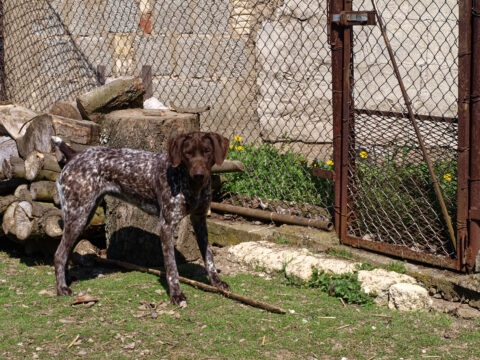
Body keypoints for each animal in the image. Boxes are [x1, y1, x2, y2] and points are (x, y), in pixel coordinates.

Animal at [52, 131, 231, 306]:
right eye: (187, 153)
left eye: (207, 151)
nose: (199, 175)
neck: (190, 185)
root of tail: (75, 155)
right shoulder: (166, 226)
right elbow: (172, 267)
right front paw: (176, 294)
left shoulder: (200, 220)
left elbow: (209, 256)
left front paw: (216, 282)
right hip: (78, 217)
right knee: (59, 254)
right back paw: (62, 288)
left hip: (83, 217)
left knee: (66, 251)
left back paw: (67, 280)